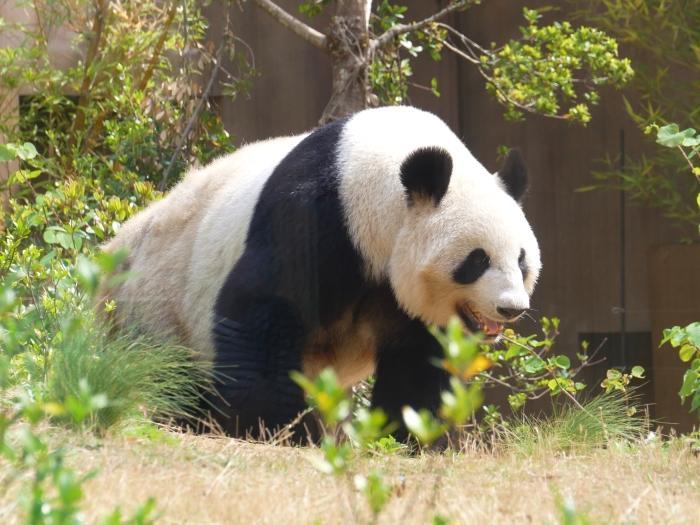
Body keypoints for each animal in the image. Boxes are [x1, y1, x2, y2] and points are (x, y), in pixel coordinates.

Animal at [101, 106, 540, 442]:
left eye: (521, 261)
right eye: (477, 260)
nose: (511, 308)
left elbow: (417, 358)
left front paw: (411, 435)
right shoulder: (315, 216)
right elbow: (263, 309)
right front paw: (277, 428)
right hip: (158, 300)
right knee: (166, 371)